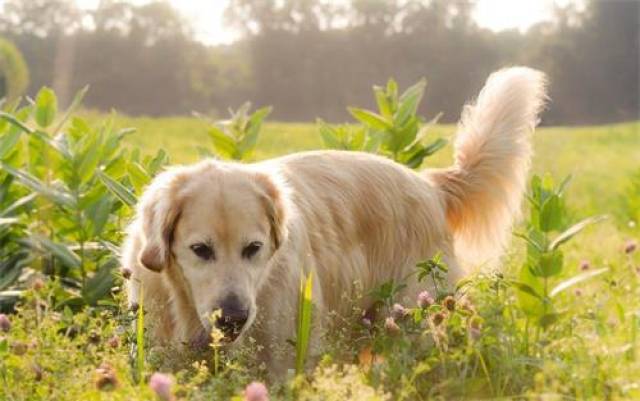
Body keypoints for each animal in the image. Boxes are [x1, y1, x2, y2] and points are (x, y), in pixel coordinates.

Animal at [122, 65, 548, 372]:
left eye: (253, 248)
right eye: (200, 250)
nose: (234, 318)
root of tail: (428, 184)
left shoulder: (283, 360)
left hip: (417, 320)